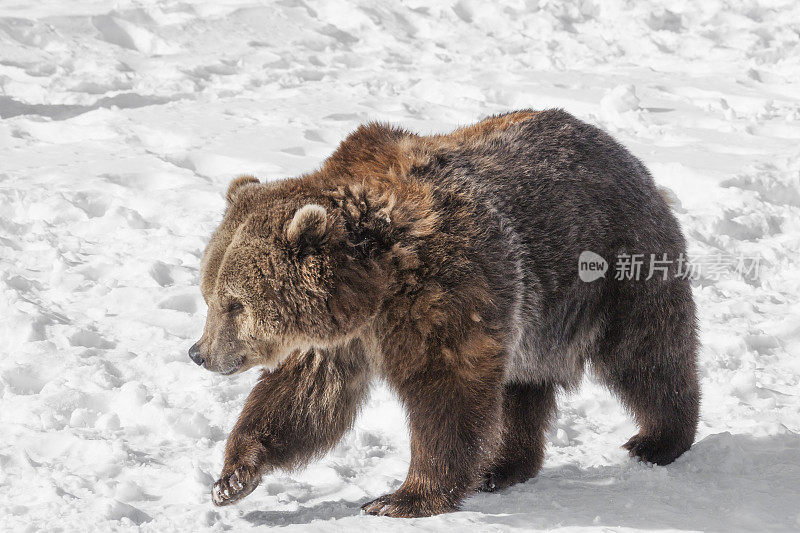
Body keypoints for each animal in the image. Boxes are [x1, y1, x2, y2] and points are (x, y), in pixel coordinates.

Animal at [189, 108, 700, 516]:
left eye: (236, 303)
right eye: (208, 293)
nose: (200, 353)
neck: (374, 286)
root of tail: (620, 149)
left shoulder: (446, 292)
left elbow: (447, 394)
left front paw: (402, 497)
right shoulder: (339, 339)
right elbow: (302, 399)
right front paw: (233, 478)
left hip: (616, 267)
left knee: (645, 355)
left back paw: (658, 440)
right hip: (534, 320)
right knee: (522, 387)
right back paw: (504, 466)